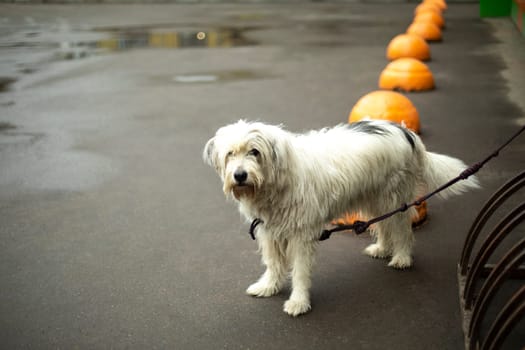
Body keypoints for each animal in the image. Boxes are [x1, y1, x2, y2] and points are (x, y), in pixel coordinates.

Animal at [202, 120, 478, 318]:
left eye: (255, 152)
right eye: (230, 154)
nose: (239, 175)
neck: (277, 183)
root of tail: (404, 131)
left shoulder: (301, 235)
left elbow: (300, 271)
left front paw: (298, 302)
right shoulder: (269, 231)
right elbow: (273, 263)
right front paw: (268, 286)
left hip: (393, 196)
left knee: (401, 228)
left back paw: (401, 257)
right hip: (373, 198)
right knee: (383, 224)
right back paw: (381, 248)